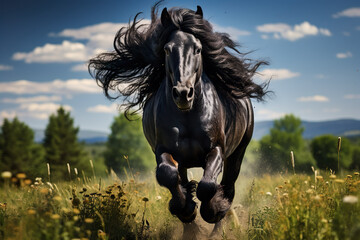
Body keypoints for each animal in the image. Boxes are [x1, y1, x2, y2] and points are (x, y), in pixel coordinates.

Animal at [89, 1, 268, 230]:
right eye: (167, 49)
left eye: (198, 49)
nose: (183, 93)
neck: (188, 116)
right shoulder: (164, 150)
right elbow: (168, 176)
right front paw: (184, 208)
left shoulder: (217, 149)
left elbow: (208, 186)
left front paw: (211, 210)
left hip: (237, 153)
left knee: (228, 187)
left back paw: (219, 220)